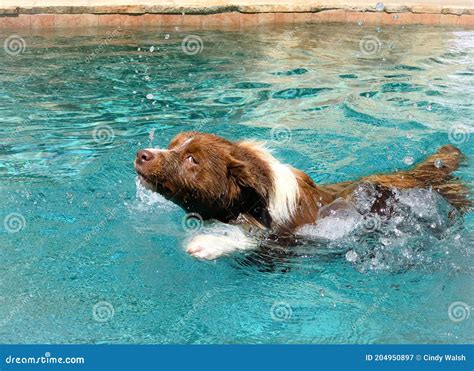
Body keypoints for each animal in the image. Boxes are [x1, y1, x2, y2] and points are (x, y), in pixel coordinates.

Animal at [133, 132, 470, 260]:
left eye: (193, 159)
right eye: (172, 144)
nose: (142, 154)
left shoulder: (287, 238)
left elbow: (251, 236)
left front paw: (209, 243)